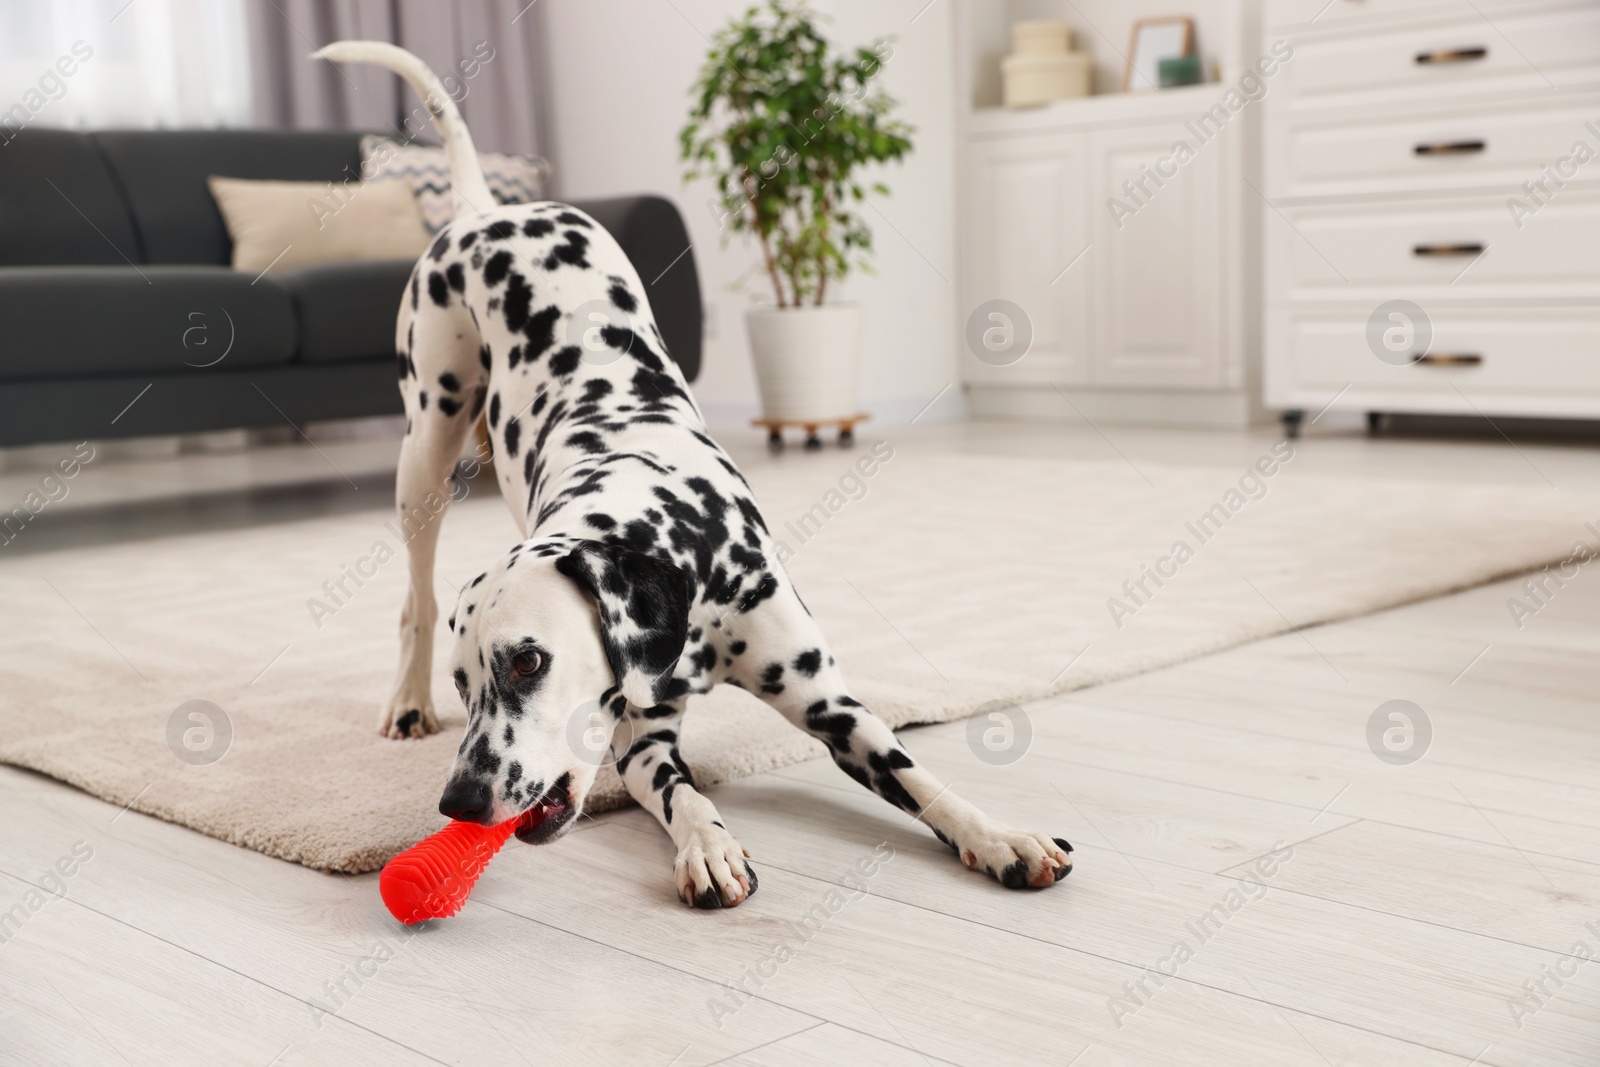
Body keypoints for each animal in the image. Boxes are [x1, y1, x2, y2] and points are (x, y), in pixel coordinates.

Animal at [318, 43, 1075, 908]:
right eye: (464, 684)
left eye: (526, 660)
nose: (461, 801)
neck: (692, 567)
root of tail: (484, 211)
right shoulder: (641, 742)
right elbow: (687, 794)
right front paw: (708, 846)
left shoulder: (832, 703)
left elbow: (924, 780)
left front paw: (1002, 835)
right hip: (427, 449)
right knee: (416, 594)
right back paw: (406, 702)